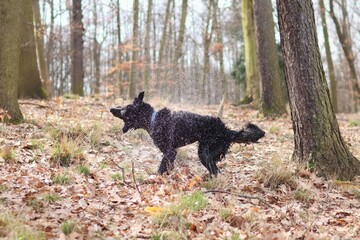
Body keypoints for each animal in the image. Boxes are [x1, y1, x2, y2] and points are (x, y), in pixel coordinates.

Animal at [109, 92, 264, 176]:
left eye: (125, 109)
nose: (111, 109)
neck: (153, 119)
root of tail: (226, 130)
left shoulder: (169, 151)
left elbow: (161, 168)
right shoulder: (171, 153)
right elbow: (167, 168)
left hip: (204, 152)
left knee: (215, 171)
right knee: (216, 170)